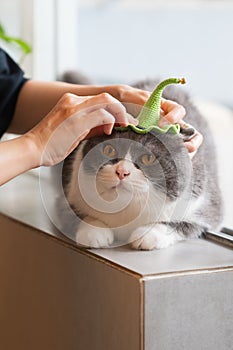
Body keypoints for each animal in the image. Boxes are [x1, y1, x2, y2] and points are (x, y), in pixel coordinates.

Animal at [56, 78, 222, 250]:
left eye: (148, 158)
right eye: (109, 150)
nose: (122, 172)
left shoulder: (205, 207)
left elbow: (179, 223)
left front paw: (147, 235)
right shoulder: (67, 196)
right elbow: (80, 215)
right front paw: (95, 234)